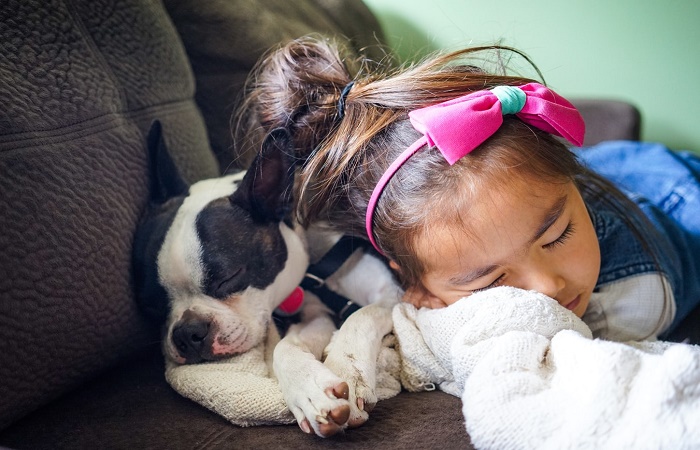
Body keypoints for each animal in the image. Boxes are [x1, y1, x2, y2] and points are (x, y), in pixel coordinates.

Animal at [133, 122, 402, 436]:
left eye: (228, 278)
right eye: (151, 306)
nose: (187, 332)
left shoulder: (392, 292)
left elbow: (362, 316)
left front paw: (348, 369)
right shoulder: (313, 312)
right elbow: (285, 347)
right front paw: (309, 391)